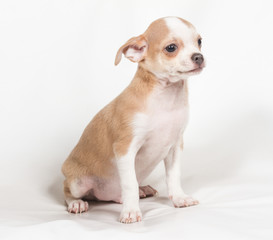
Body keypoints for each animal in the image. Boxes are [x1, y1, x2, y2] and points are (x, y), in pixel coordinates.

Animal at [61, 16, 205, 223]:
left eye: (199, 42)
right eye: (171, 48)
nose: (199, 57)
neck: (165, 99)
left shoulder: (175, 146)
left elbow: (173, 176)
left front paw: (179, 198)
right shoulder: (125, 149)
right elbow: (129, 183)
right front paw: (130, 211)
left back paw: (141, 189)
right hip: (77, 182)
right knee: (68, 190)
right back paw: (77, 203)